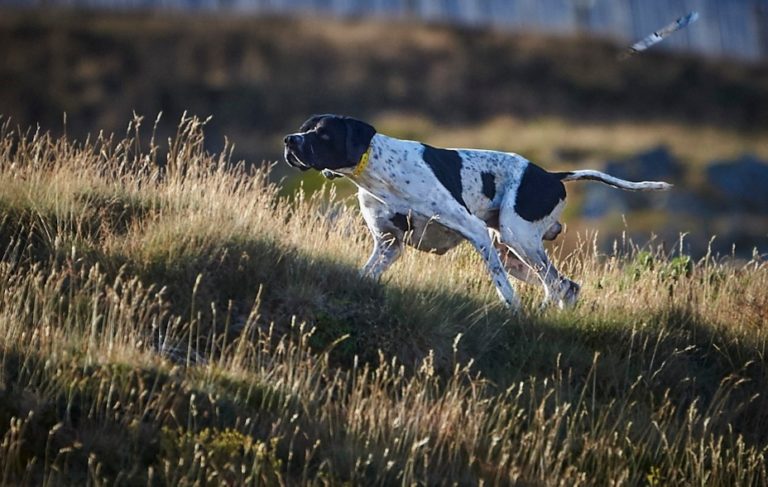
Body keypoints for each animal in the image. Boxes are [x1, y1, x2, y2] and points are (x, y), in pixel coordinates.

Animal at [284, 114, 672, 308]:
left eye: (321, 133)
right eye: (303, 129)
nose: (289, 140)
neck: (377, 170)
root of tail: (550, 175)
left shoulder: (475, 232)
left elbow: (503, 290)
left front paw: (511, 312)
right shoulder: (388, 245)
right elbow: (366, 273)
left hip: (517, 238)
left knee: (558, 286)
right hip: (513, 251)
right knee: (565, 287)